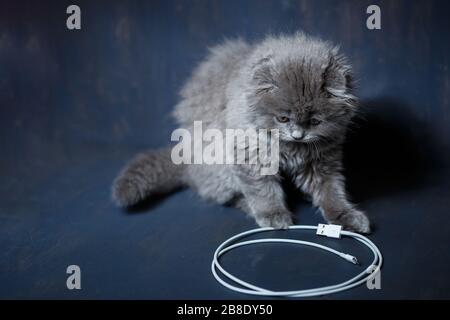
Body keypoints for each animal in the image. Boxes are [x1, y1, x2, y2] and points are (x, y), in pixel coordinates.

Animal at [111, 32, 370, 232]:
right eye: (283, 118)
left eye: (316, 121)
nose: (298, 134)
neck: (291, 147)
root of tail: (185, 158)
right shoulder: (250, 154)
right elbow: (262, 190)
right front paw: (273, 215)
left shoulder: (323, 160)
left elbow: (331, 191)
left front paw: (347, 216)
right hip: (216, 163)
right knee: (221, 193)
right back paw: (248, 205)